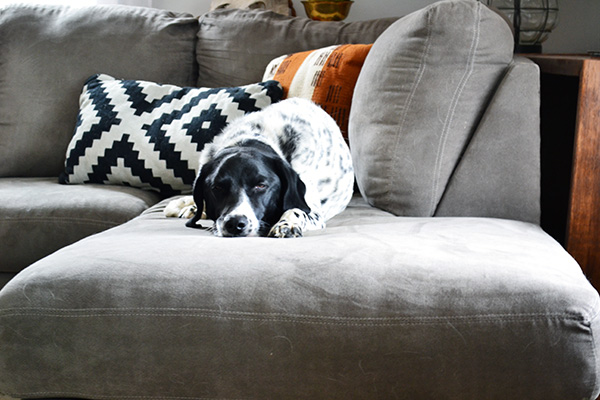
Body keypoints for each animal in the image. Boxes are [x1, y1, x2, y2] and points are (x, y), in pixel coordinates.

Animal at [164, 97, 354, 238]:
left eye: (261, 185)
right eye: (217, 187)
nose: (235, 224)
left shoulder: (312, 210)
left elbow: (296, 210)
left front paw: (287, 224)